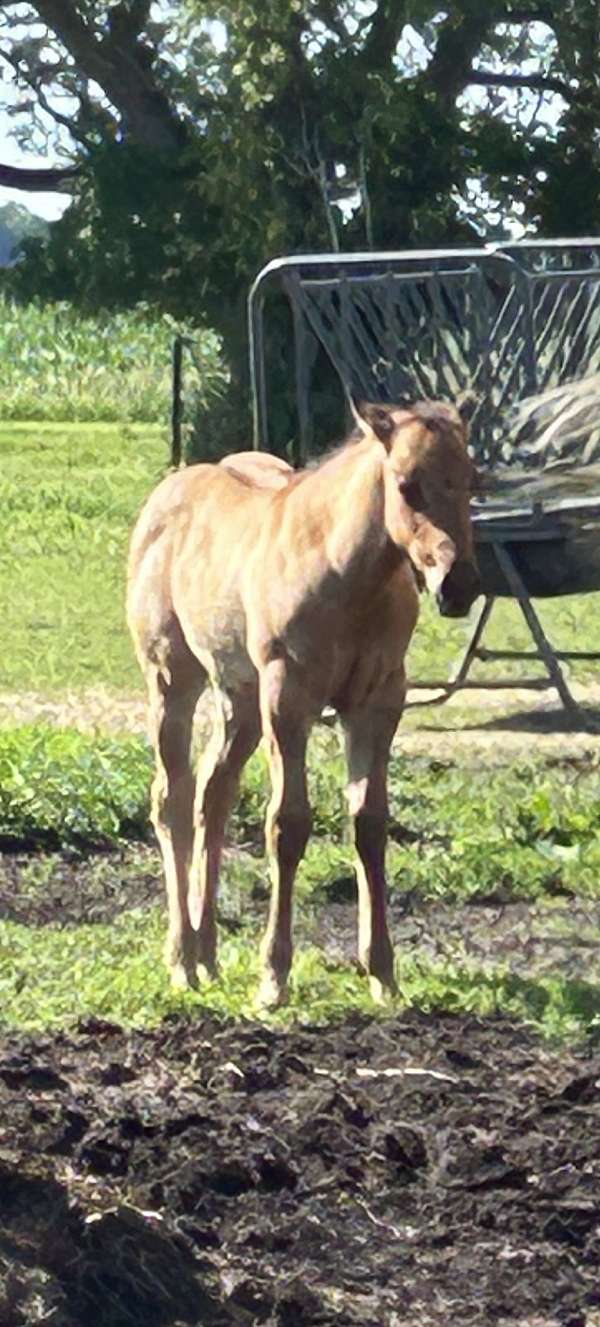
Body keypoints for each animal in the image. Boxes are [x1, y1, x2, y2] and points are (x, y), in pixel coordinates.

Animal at [127, 397, 480, 1007]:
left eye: (474, 481)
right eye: (407, 485)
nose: (457, 587)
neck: (346, 574)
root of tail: (168, 491)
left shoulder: (379, 701)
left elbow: (370, 823)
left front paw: (383, 973)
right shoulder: (287, 697)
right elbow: (287, 824)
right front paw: (273, 977)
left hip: (240, 700)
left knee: (213, 795)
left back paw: (208, 955)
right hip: (174, 679)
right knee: (171, 799)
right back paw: (182, 961)